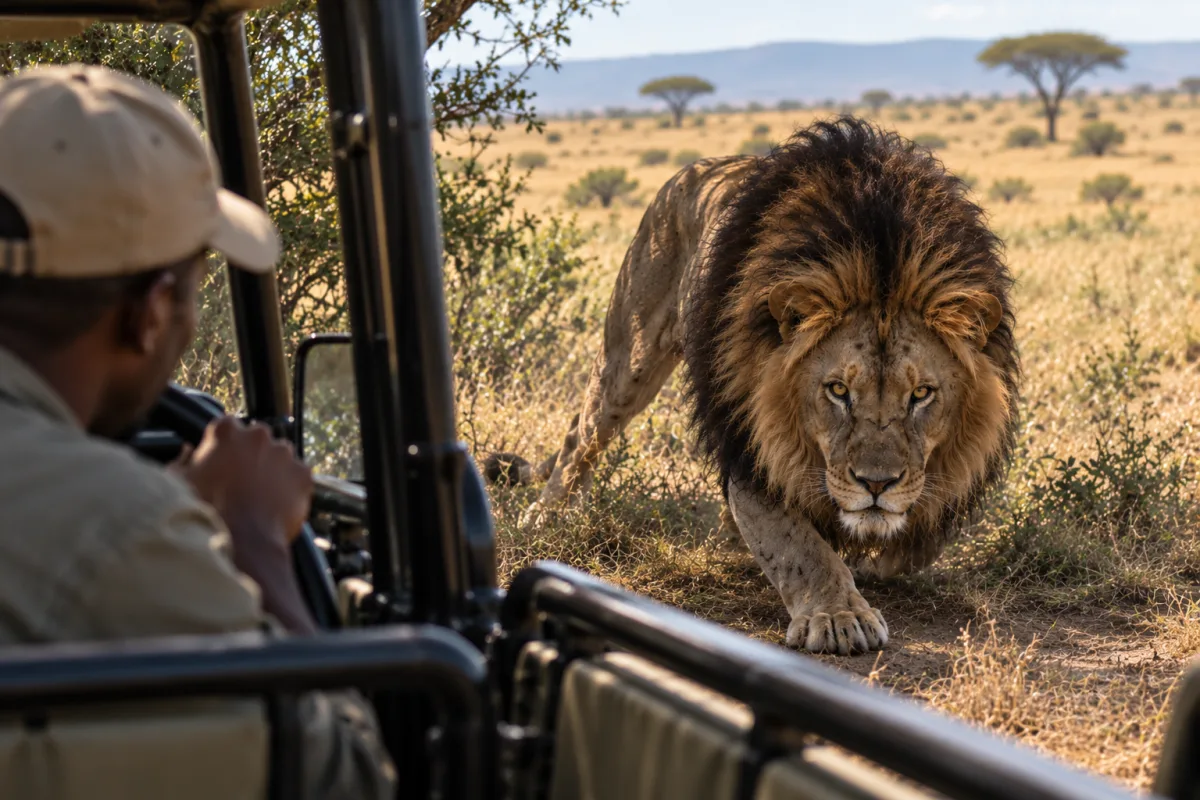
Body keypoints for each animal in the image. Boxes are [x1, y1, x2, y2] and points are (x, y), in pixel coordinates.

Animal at [490, 116, 1021, 656]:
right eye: (837, 391)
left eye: (920, 395)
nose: (876, 484)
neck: (881, 257)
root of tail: (692, 170)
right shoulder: (747, 439)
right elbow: (795, 544)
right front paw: (838, 614)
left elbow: (918, 539)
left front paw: (869, 552)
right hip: (629, 355)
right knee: (582, 433)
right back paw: (547, 514)